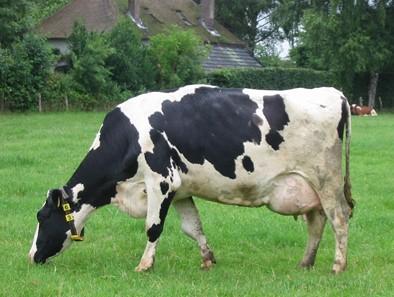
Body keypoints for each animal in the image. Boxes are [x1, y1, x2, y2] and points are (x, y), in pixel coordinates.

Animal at [27, 84, 354, 272]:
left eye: (42, 217)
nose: (31, 256)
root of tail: (333, 92)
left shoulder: (161, 182)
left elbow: (153, 228)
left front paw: (144, 265)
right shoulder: (181, 190)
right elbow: (192, 227)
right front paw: (208, 258)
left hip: (326, 179)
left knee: (338, 218)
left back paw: (338, 266)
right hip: (309, 186)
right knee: (317, 222)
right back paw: (306, 262)